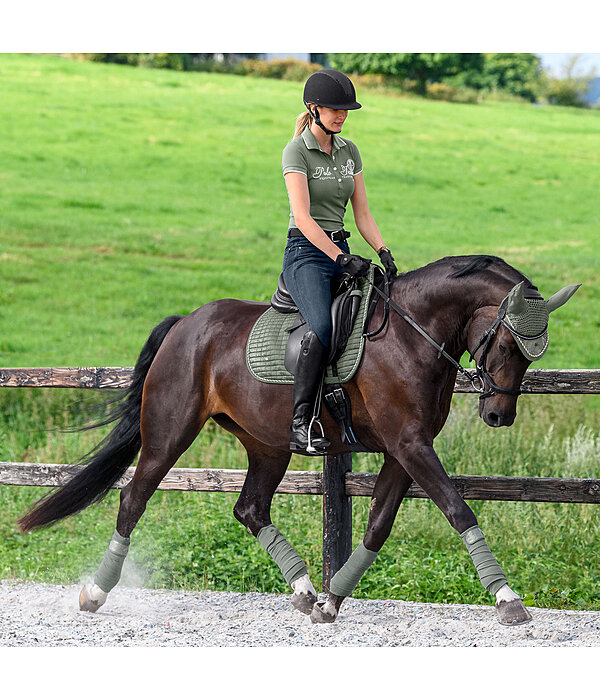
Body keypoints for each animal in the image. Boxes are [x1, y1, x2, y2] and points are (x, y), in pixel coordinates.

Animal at [18, 254, 580, 628]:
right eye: (506, 342)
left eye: (534, 352)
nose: (499, 415)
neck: (412, 333)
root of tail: (186, 324)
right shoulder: (410, 444)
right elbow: (459, 510)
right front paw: (508, 599)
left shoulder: (403, 450)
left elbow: (378, 525)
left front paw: (332, 601)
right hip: (168, 435)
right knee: (133, 498)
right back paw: (95, 593)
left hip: (267, 444)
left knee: (249, 508)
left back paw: (307, 590)